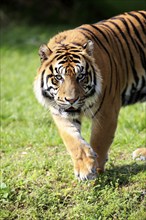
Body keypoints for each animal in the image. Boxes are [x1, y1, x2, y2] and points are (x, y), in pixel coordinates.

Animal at [33, 10, 145, 180]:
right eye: (58, 77)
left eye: (81, 76)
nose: (71, 100)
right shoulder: (60, 112)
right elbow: (73, 140)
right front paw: (85, 168)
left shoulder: (107, 110)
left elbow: (99, 140)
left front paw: (96, 169)